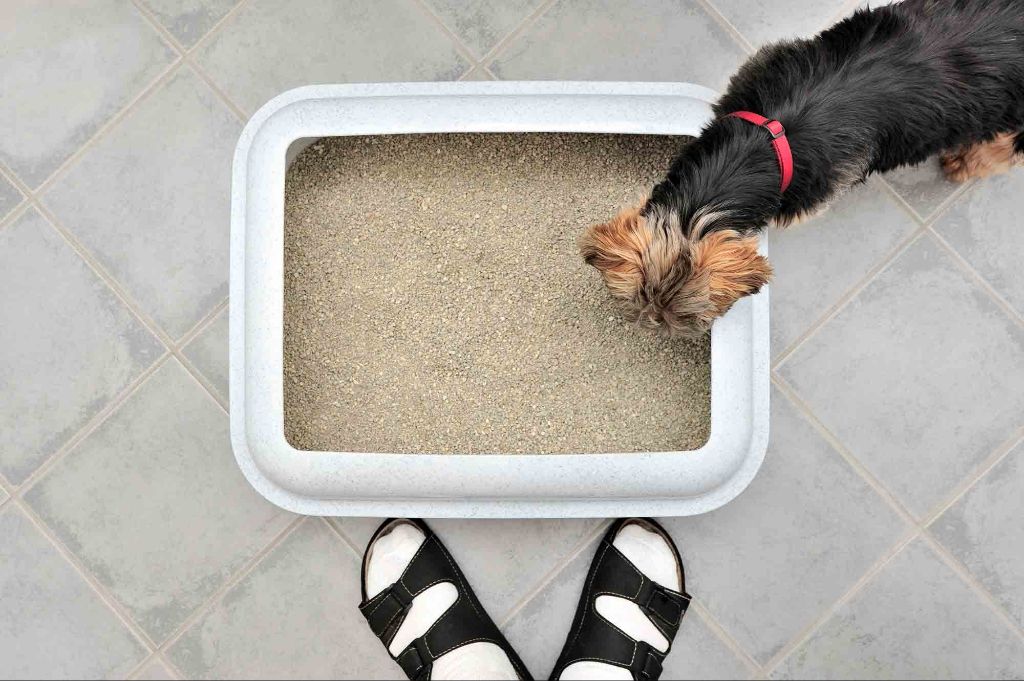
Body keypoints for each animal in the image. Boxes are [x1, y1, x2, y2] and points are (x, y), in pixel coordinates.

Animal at [581, 0, 1024, 335]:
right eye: (641, 300)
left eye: (688, 315)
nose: (653, 325)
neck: (760, 146)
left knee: (1005, 149)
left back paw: (964, 162)